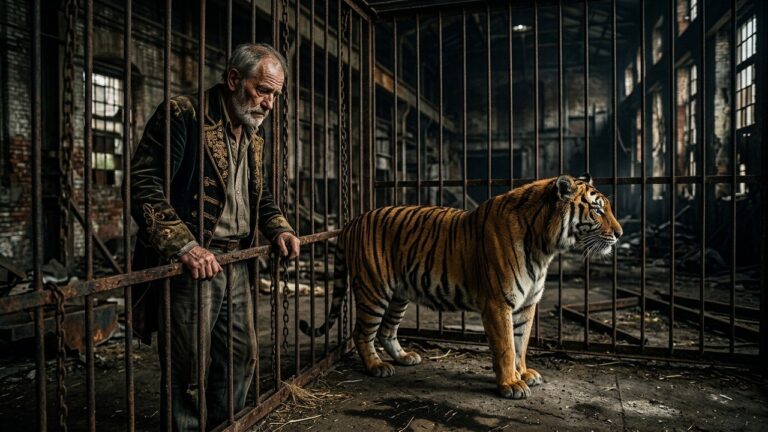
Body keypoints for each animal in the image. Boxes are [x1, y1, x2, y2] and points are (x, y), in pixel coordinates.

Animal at [300, 174, 622, 399]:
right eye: (597, 210)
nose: (620, 234)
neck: (545, 247)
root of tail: (352, 221)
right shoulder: (498, 303)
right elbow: (506, 347)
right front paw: (510, 384)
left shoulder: (527, 304)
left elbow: (521, 343)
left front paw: (524, 373)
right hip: (374, 290)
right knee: (362, 332)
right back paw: (377, 367)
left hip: (399, 294)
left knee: (386, 331)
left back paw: (405, 358)